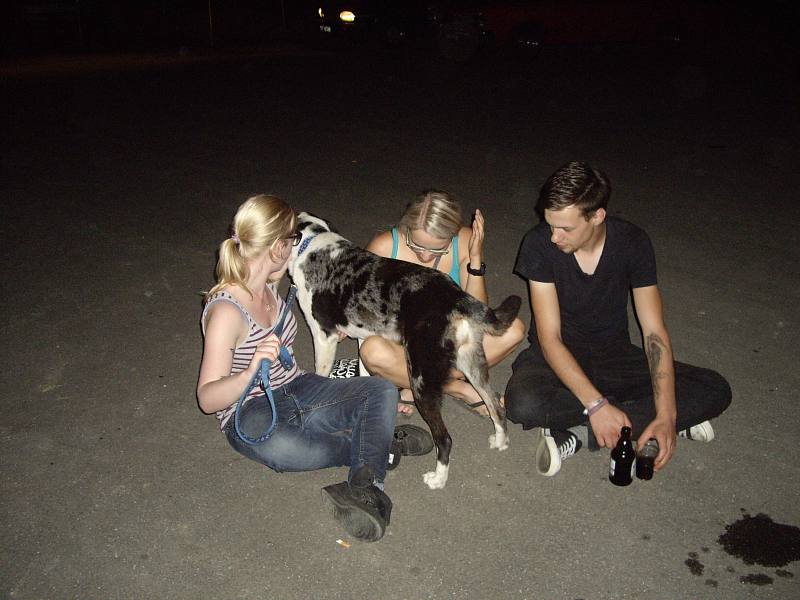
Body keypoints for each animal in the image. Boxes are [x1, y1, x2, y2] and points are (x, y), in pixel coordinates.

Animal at [288, 212, 522, 489]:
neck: (311, 243)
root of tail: (456, 297)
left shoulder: (324, 336)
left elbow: (321, 377)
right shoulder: (364, 339)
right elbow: (366, 377)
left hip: (421, 378)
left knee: (445, 438)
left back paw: (438, 479)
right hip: (472, 364)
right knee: (495, 404)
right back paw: (500, 441)